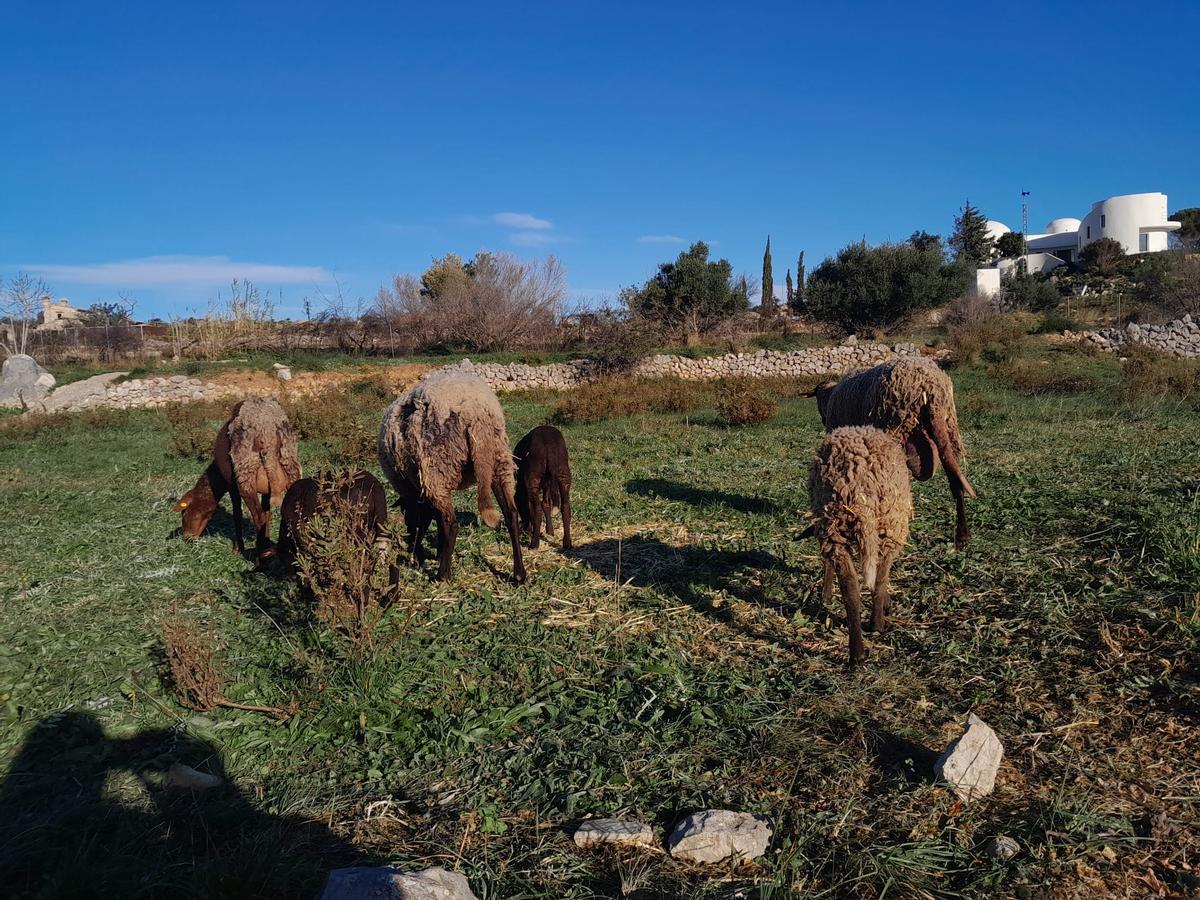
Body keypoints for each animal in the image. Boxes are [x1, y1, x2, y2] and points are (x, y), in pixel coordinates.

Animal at [175, 400, 302, 556]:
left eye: (184, 512)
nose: (187, 538)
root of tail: (268, 430)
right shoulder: (267, 490)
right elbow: (267, 512)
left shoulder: (231, 484)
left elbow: (238, 513)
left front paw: (238, 548)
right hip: (290, 465)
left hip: (245, 472)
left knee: (258, 516)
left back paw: (261, 553)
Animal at [374, 372, 525, 585]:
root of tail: (476, 414)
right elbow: (433, 519)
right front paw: (437, 551)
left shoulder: (415, 490)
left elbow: (421, 522)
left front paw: (419, 554)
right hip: (499, 462)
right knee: (511, 514)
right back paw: (519, 574)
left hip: (438, 467)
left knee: (451, 524)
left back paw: (442, 575)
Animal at [811, 424, 912, 672]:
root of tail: (860, 490)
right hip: (891, 526)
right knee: (880, 578)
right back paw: (877, 625)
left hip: (835, 529)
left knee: (851, 588)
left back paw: (857, 653)